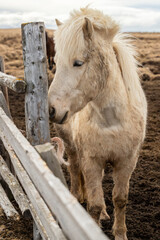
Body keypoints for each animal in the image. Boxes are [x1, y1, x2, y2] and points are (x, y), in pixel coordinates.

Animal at [48, 7, 148, 240]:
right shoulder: (91, 160)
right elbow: (93, 204)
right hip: (72, 148)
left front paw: (120, 233)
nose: (52, 110)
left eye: (78, 63)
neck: (112, 122)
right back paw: (78, 197)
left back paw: (104, 213)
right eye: (55, 63)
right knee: (76, 171)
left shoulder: (126, 161)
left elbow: (119, 199)